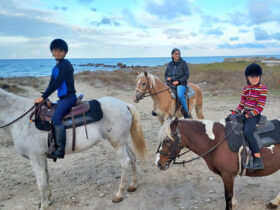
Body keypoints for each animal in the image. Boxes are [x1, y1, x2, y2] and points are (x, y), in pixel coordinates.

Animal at [0, 88, 148, 208]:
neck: (22, 119)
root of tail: (125, 105)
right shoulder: (42, 157)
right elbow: (46, 177)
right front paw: (49, 199)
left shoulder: (35, 157)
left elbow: (40, 182)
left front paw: (43, 205)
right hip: (122, 142)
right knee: (132, 157)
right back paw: (133, 185)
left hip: (117, 143)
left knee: (125, 162)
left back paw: (119, 194)